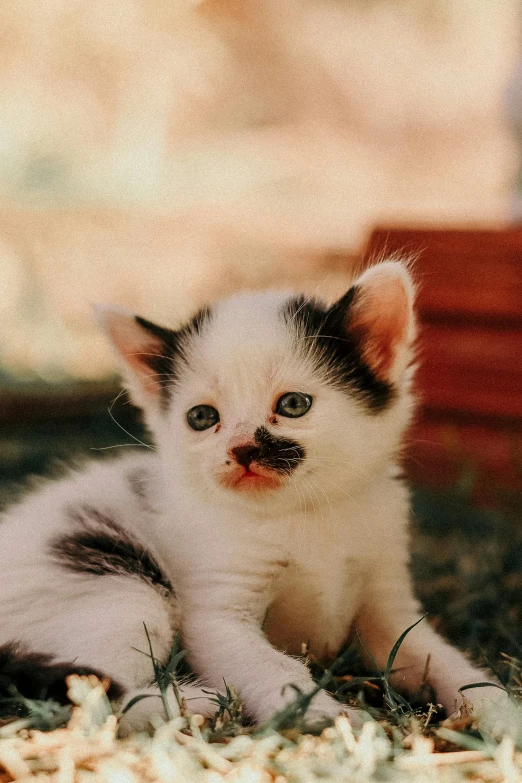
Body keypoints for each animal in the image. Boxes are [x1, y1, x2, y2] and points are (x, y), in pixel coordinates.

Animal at [0, 260, 500, 732]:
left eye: (294, 405)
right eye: (202, 417)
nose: (242, 449)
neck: (302, 511)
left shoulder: (388, 596)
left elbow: (434, 655)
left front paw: (497, 711)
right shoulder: (217, 613)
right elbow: (271, 668)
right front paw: (326, 717)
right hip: (115, 581)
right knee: (88, 691)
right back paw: (193, 704)